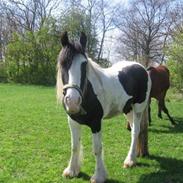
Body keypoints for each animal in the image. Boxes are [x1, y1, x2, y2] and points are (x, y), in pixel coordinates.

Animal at [56, 32, 152, 182]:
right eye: (63, 63)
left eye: (84, 64)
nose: (72, 101)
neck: (88, 92)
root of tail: (142, 67)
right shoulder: (72, 121)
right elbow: (74, 146)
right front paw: (71, 171)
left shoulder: (96, 123)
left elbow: (97, 149)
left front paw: (99, 175)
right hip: (127, 109)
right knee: (133, 131)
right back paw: (133, 157)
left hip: (138, 108)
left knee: (136, 131)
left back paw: (130, 161)